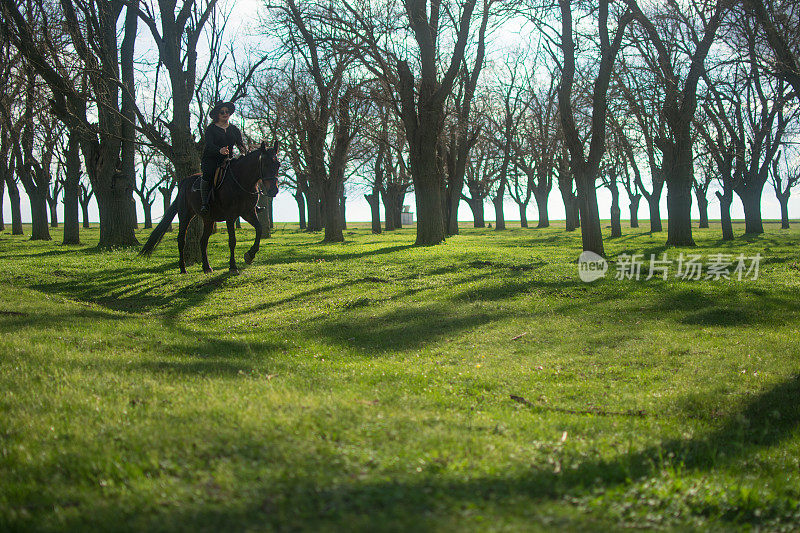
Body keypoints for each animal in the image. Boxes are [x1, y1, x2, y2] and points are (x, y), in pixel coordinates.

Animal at [141, 139, 282, 272]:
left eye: (278, 164)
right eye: (265, 164)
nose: (273, 191)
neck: (241, 181)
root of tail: (184, 182)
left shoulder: (249, 213)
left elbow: (259, 229)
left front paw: (250, 255)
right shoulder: (230, 216)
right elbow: (232, 241)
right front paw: (233, 266)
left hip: (208, 219)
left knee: (203, 241)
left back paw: (206, 267)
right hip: (185, 216)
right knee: (181, 240)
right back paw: (183, 268)